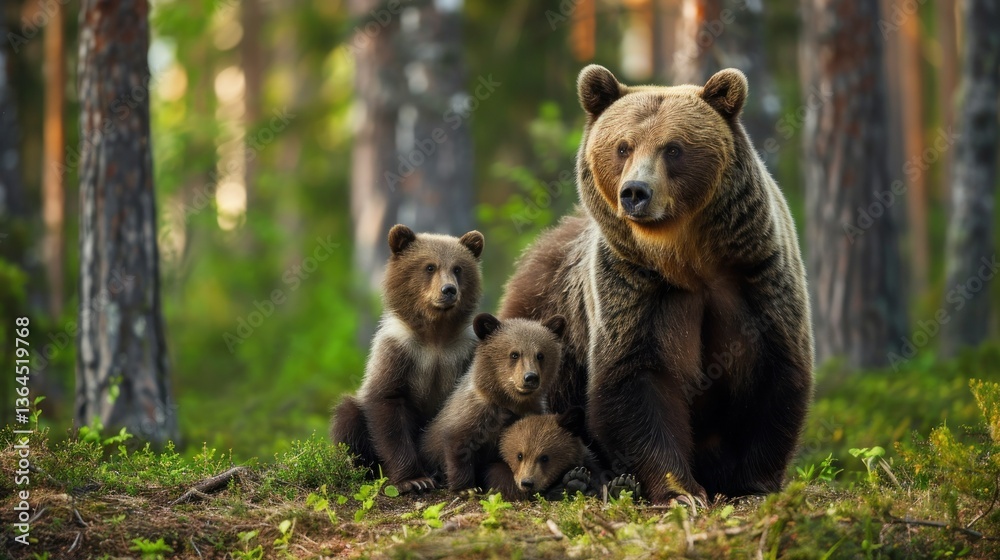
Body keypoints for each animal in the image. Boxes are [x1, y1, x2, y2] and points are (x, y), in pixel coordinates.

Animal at [331, 223, 484, 494]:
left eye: (458, 268)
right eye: (430, 267)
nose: (449, 290)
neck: (436, 337)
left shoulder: (464, 352)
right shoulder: (398, 350)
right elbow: (388, 404)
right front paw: (414, 479)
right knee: (348, 414)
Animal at [420, 312, 566, 491]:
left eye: (540, 355)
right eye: (514, 354)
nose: (531, 377)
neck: (510, 402)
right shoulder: (474, 414)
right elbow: (458, 443)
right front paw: (467, 487)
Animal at [498, 65, 814, 503]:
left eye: (674, 148)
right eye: (623, 146)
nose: (635, 192)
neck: (687, 259)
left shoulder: (757, 277)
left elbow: (774, 371)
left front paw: (752, 483)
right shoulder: (634, 289)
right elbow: (637, 381)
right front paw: (682, 490)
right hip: (545, 315)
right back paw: (581, 478)